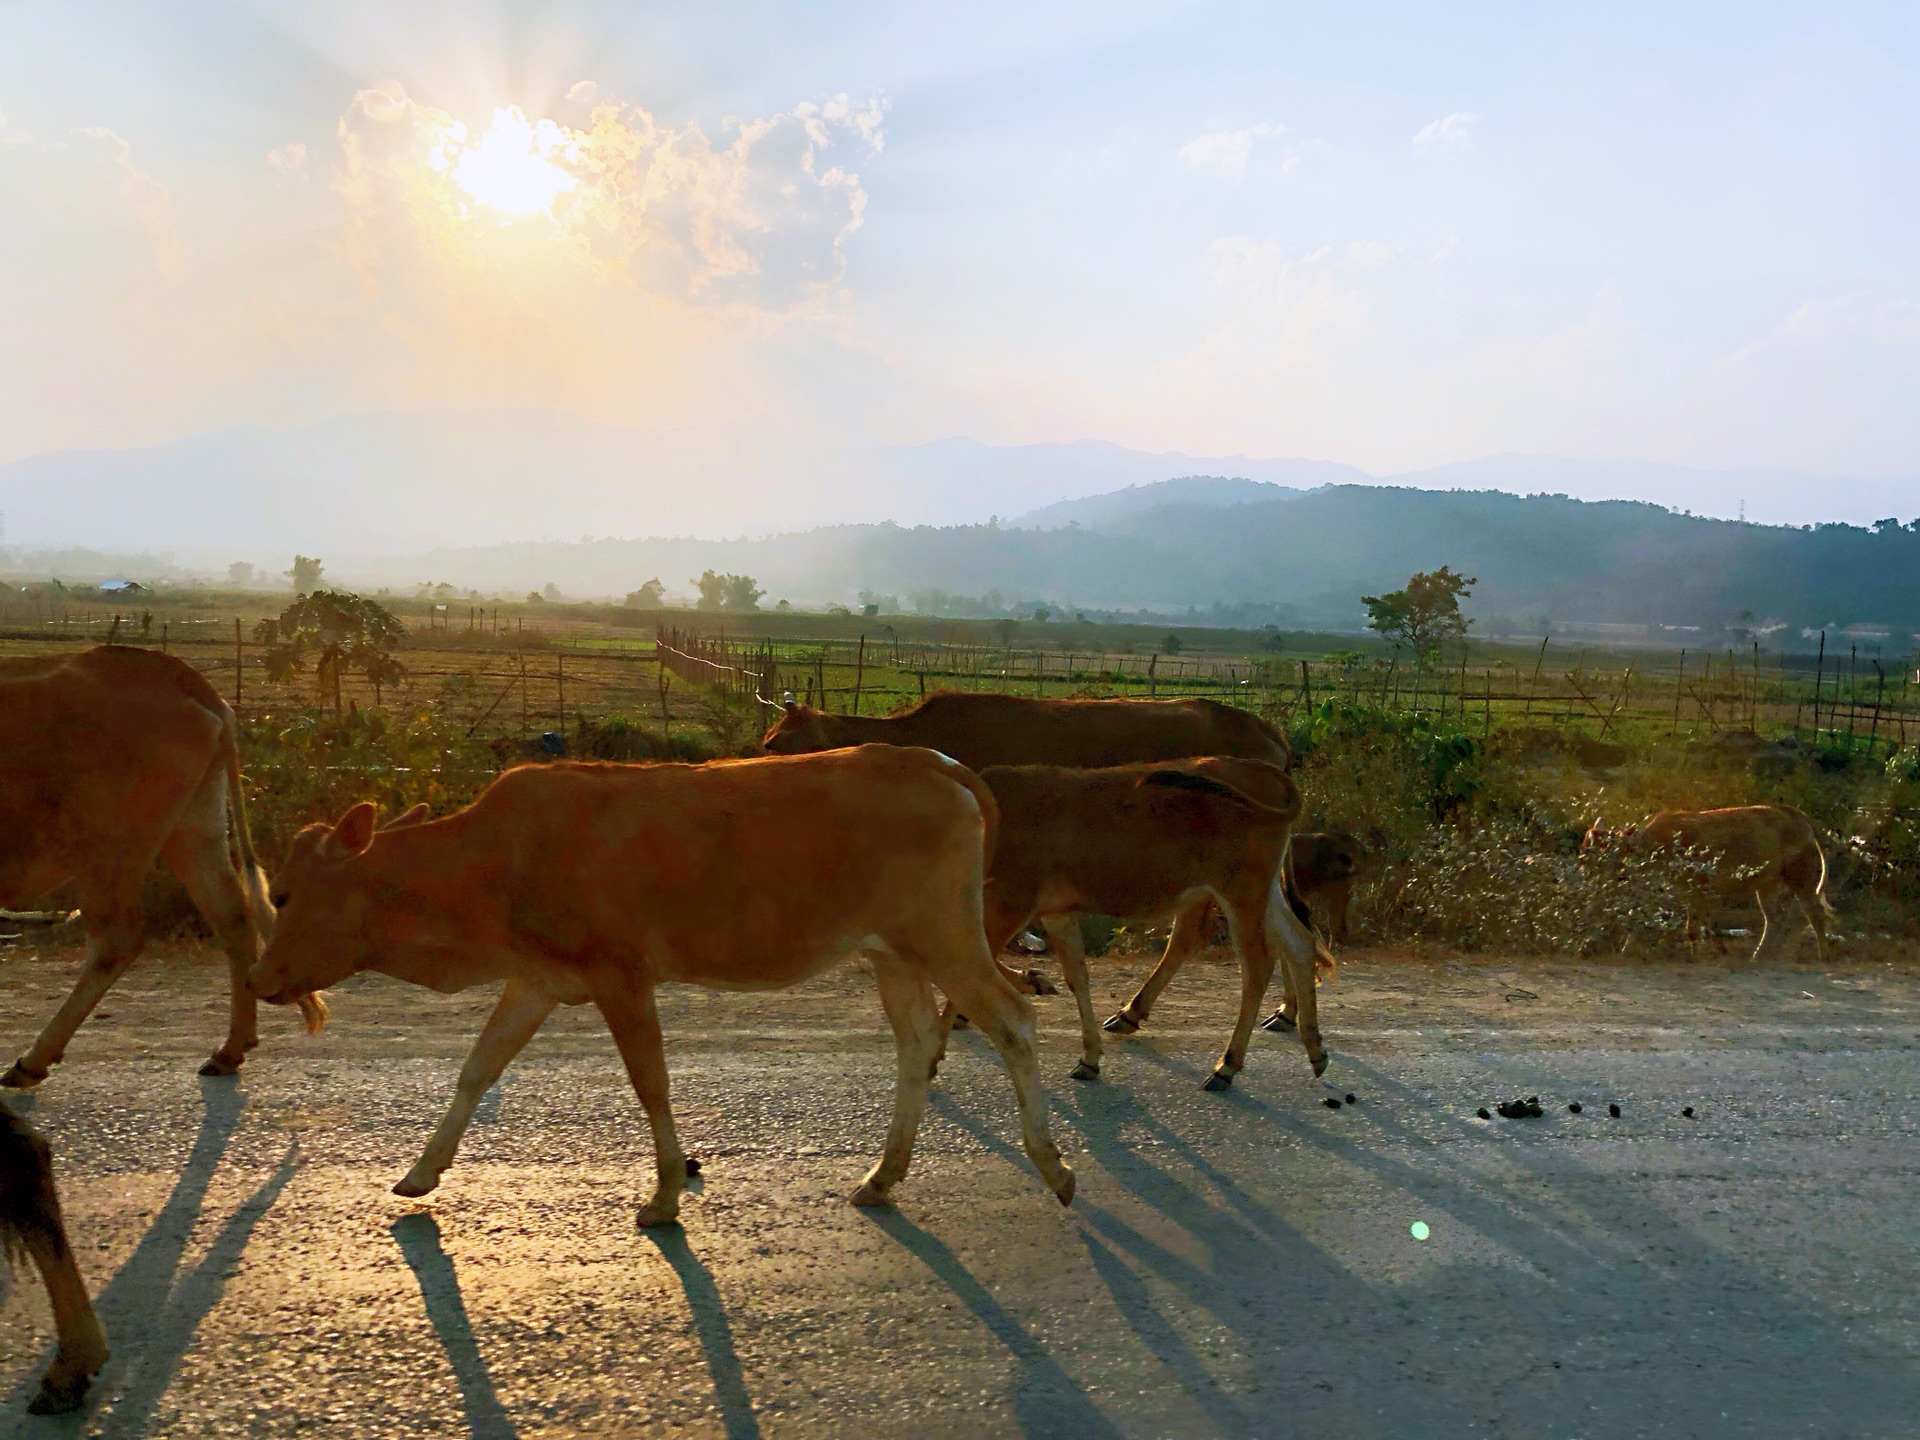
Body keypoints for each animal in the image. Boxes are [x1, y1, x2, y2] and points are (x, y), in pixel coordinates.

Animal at [0, 648, 324, 1090]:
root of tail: (173, 671)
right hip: (195, 827)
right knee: (232, 917)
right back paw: (229, 1051)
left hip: (111, 848)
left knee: (116, 942)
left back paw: (33, 1061)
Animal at [247, 748, 1075, 1221]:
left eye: (282, 894)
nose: (258, 979)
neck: (491, 861)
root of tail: (937, 763)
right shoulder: (537, 979)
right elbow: (477, 1069)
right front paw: (421, 1171)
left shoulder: (620, 974)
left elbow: (651, 1083)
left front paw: (666, 1193)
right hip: (891, 953)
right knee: (916, 1045)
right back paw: (883, 1175)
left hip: (943, 937)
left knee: (1012, 1022)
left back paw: (1053, 1165)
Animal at [956, 756, 1328, 1090]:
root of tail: (1264, 770)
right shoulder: (1056, 912)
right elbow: (1077, 977)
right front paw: (1088, 1056)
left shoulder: (1011, 901)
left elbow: (980, 964)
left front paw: (1027, 984)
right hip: (1260, 892)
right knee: (1298, 942)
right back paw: (1314, 1047)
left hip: (1240, 893)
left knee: (1257, 965)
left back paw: (1226, 1065)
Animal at [1582, 806, 1835, 963]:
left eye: (1596, 850)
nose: (1582, 868)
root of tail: (1800, 818)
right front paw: (1625, 951)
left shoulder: (1698, 888)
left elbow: (1692, 928)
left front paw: (1694, 956)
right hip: (1767, 885)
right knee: (1775, 919)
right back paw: (1759, 956)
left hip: (1801, 880)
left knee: (1814, 914)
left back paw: (1823, 955)